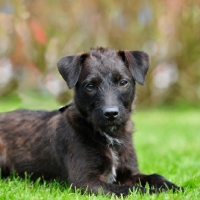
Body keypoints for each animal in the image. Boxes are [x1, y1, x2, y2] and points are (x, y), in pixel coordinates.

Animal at [0, 47, 182, 196]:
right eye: (90, 85)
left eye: (123, 82)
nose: (111, 113)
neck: (109, 136)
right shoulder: (86, 181)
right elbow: (129, 189)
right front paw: (152, 192)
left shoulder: (129, 173)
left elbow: (155, 176)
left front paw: (173, 187)